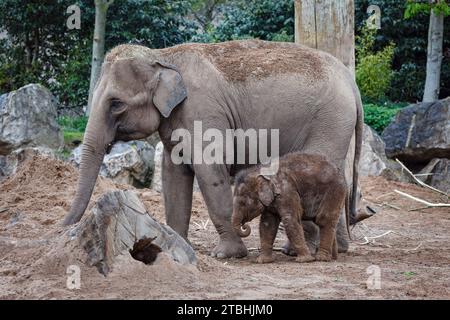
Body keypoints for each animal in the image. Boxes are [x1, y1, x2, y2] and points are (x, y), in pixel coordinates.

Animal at [63, 40, 364, 260]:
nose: (65, 228)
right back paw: (336, 249)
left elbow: (209, 171)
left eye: (116, 104)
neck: (163, 56)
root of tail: (351, 81)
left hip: (329, 120)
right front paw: (177, 245)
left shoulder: (202, 112)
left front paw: (226, 256)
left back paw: (303, 252)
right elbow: (174, 176)